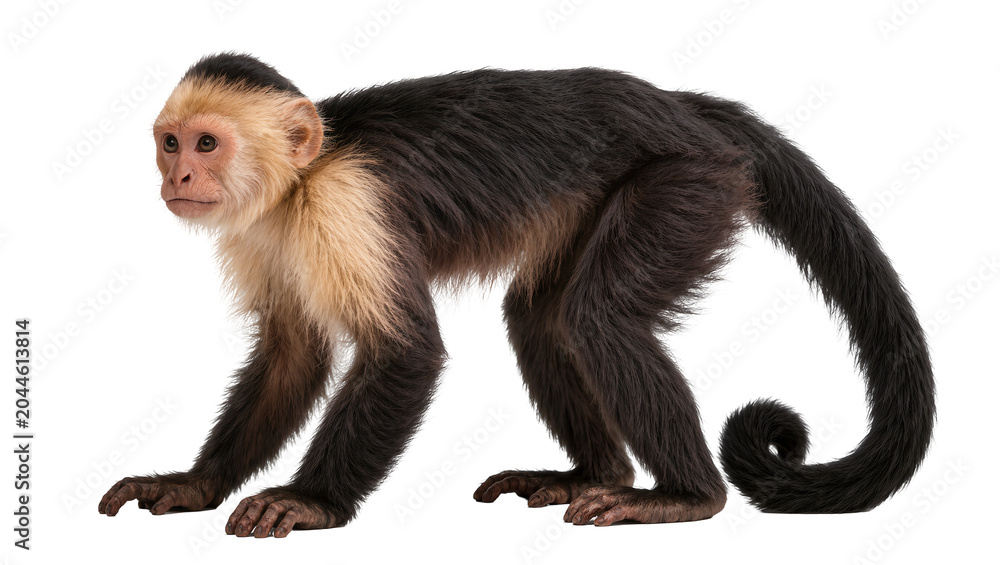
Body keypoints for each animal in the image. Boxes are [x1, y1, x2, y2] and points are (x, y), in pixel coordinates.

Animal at [98, 53, 934, 537]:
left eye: (208, 143)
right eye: (170, 143)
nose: (179, 177)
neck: (301, 180)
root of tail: (680, 105)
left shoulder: (348, 207)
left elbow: (406, 354)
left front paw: (311, 502)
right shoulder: (261, 232)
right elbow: (290, 355)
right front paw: (194, 484)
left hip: (687, 179)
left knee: (598, 318)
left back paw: (684, 495)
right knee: (541, 320)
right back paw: (595, 474)